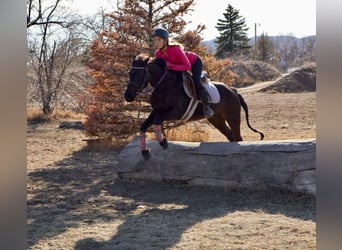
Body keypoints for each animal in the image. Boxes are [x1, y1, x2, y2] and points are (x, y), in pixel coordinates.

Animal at [124, 55, 264, 160]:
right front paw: (145, 152)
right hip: (217, 120)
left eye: (140, 74)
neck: (164, 84)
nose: (128, 96)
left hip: (232, 118)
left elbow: (157, 120)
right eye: (130, 73)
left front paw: (163, 143)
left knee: (238, 138)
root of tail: (234, 91)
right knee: (231, 137)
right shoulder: (157, 110)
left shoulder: (176, 112)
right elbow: (144, 125)